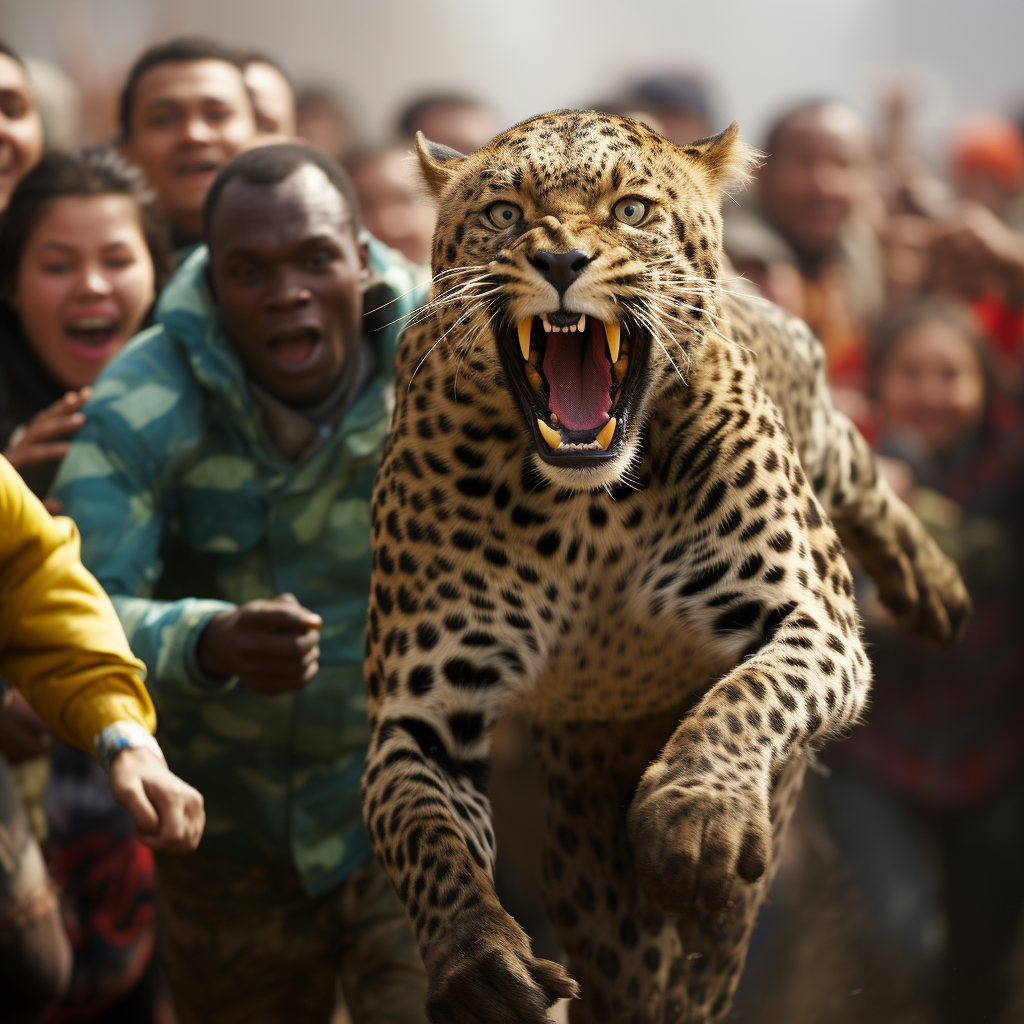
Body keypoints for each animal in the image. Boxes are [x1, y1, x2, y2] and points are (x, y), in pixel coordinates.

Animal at [358, 112, 966, 1024]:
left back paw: (931, 586)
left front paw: (696, 811)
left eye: (632, 210)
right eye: (504, 214)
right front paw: (478, 960)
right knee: (631, 974)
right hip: (582, 849)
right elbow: (428, 837)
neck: (589, 513)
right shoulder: (421, 711)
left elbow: (749, 695)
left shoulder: (809, 616)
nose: (562, 262)